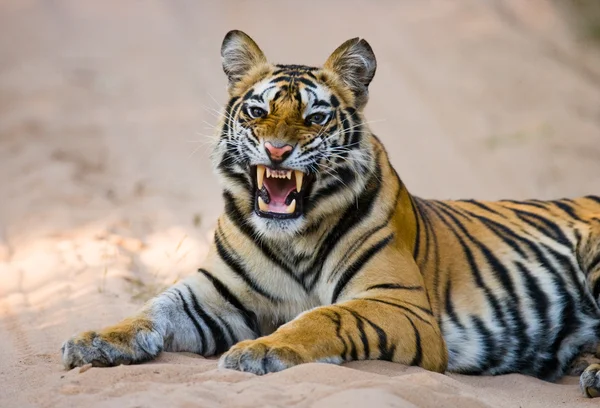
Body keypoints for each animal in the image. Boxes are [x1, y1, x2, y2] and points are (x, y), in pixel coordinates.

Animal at [61, 29, 600, 398]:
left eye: (315, 117)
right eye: (258, 112)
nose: (277, 151)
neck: (290, 237)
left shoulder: (398, 304)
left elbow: (326, 316)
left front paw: (261, 350)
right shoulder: (215, 296)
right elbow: (152, 308)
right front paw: (95, 340)